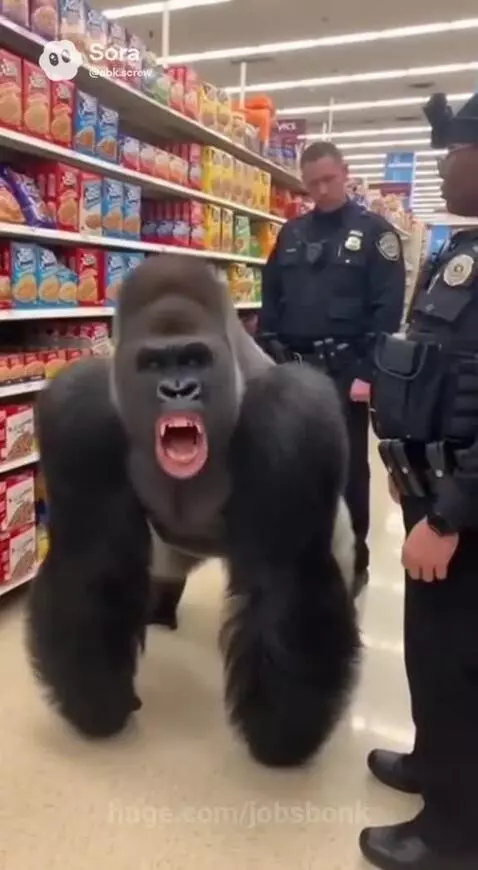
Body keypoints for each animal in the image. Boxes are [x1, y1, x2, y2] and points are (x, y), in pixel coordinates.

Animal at [27, 254, 360, 768]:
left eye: (194, 358)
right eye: (152, 363)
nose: (179, 389)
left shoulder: (295, 414)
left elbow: (286, 585)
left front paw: (281, 736)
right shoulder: (77, 408)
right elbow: (91, 565)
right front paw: (99, 705)